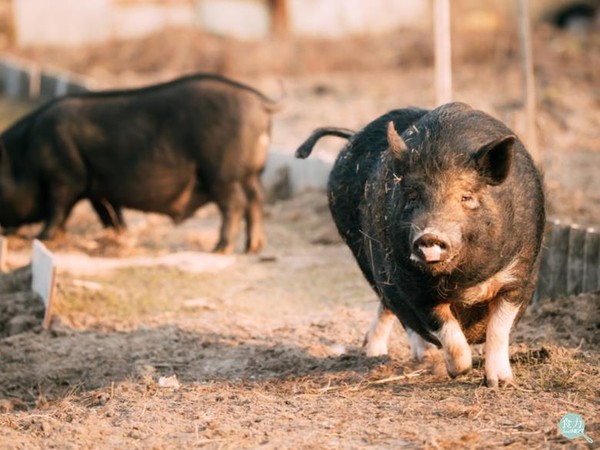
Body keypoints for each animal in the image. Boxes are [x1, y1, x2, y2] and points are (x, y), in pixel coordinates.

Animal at [0, 74, 276, 253]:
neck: (24, 155)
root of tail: (261, 102)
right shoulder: (97, 189)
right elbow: (109, 213)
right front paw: (118, 235)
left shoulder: (65, 177)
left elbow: (58, 209)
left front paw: (41, 238)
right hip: (251, 174)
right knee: (257, 199)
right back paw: (253, 247)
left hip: (222, 174)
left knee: (236, 203)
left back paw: (220, 249)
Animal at [298, 103, 548, 386]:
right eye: (412, 196)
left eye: (466, 197)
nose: (429, 237)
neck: (464, 284)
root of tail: (352, 135)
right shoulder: (415, 288)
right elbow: (445, 329)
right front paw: (457, 371)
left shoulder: (518, 276)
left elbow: (499, 327)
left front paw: (499, 382)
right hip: (366, 259)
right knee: (394, 309)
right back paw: (399, 356)